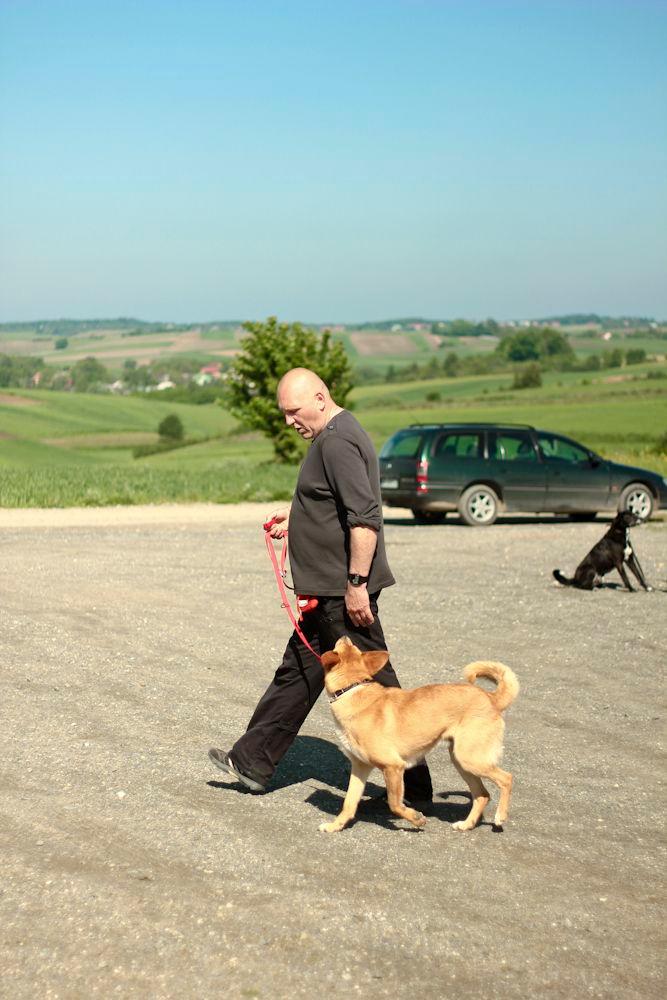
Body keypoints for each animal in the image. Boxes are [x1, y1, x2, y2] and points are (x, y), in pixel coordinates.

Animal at [320, 636, 520, 832]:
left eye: (343, 646)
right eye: (352, 646)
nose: (345, 636)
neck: (351, 690)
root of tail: (491, 698)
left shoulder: (394, 767)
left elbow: (394, 803)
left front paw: (415, 819)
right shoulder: (360, 766)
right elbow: (349, 803)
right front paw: (335, 826)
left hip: (471, 759)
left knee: (506, 779)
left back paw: (500, 816)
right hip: (461, 760)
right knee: (482, 795)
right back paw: (466, 824)